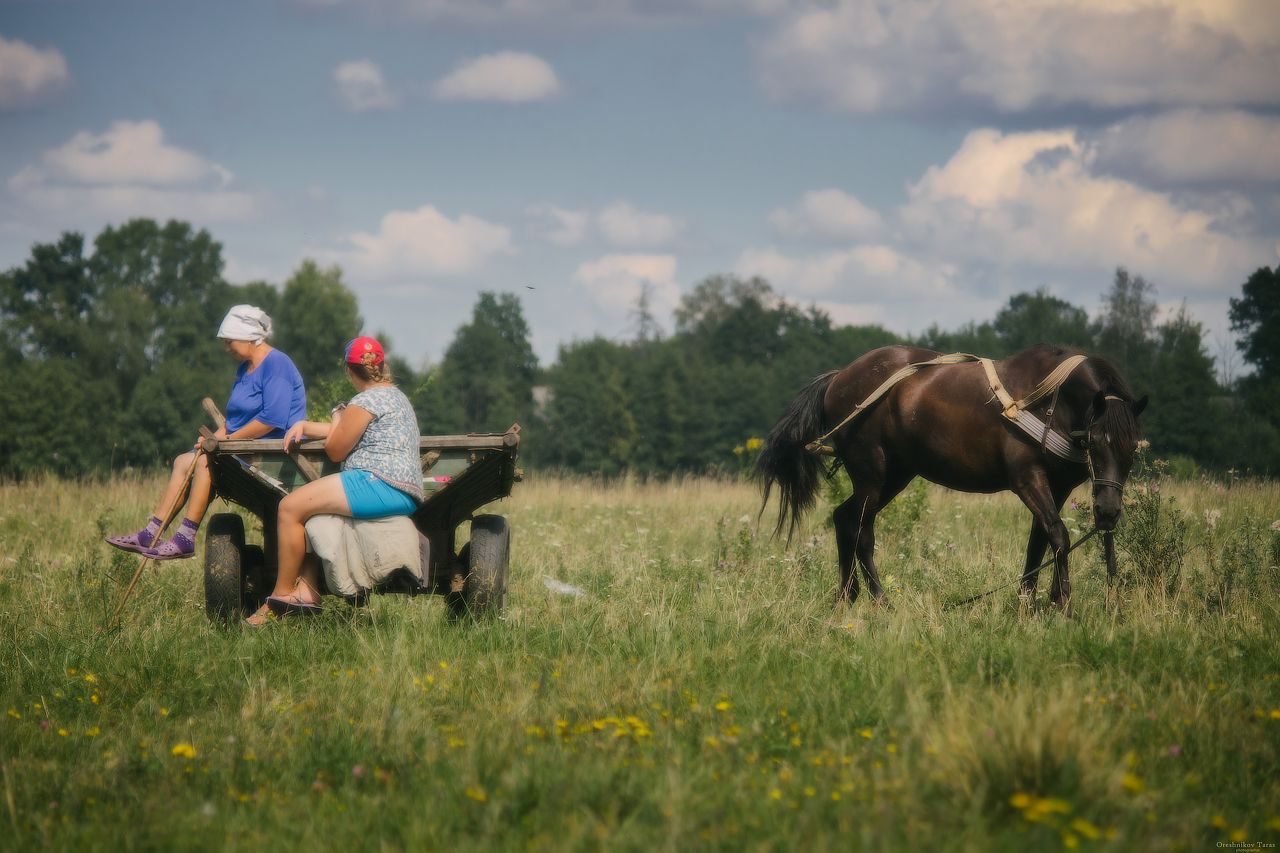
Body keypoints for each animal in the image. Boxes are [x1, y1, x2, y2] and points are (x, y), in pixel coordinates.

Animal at [757, 343, 1152, 607]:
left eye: (1132, 448)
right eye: (1096, 441)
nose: (1108, 512)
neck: (1048, 400)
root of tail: (838, 378)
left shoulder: (1058, 487)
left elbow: (1040, 541)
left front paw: (1030, 602)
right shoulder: (1027, 479)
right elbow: (1058, 535)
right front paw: (1063, 604)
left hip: (896, 476)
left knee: (843, 519)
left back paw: (847, 597)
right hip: (872, 474)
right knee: (861, 531)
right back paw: (880, 601)